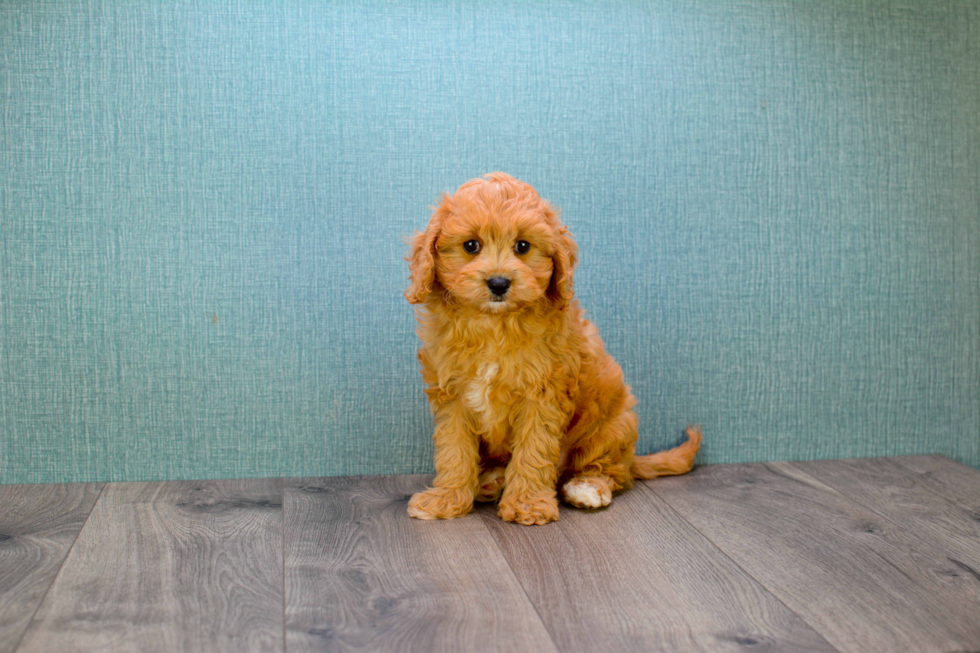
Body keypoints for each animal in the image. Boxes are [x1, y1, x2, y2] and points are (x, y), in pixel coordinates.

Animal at [402, 173, 700, 524]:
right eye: (471, 246)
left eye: (522, 246)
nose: (499, 283)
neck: (494, 324)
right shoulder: (452, 395)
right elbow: (453, 450)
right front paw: (446, 499)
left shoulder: (543, 394)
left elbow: (534, 448)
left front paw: (528, 504)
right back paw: (490, 482)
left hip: (611, 428)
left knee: (609, 469)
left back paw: (587, 487)